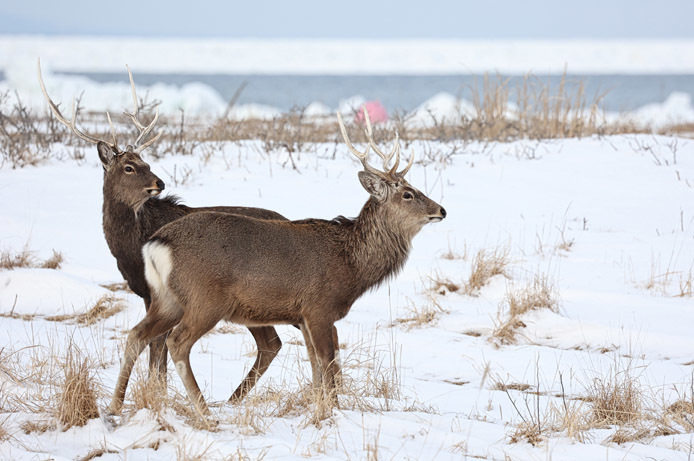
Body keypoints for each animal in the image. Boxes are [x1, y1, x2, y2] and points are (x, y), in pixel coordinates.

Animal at [107, 106, 446, 416]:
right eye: (407, 194)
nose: (441, 210)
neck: (352, 264)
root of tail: (156, 244)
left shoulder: (304, 316)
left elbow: (316, 366)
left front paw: (318, 407)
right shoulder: (319, 307)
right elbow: (328, 364)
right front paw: (332, 412)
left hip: (165, 298)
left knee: (137, 335)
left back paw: (115, 405)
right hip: (205, 298)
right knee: (177, 342)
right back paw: (204, 413)